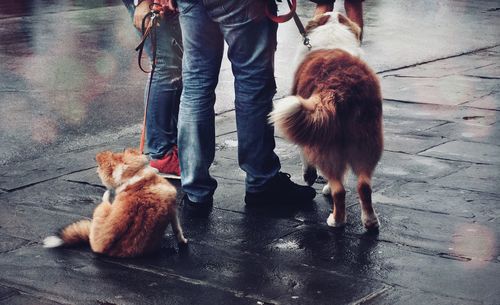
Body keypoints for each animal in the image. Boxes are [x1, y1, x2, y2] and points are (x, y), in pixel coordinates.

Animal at [42, 148, 188, 255]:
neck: (133, 176)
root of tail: (104, 249)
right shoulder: (173, 208)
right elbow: (178, 229)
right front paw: (183, 241)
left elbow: (177, 229)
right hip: (100, 208)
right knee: (105, 200)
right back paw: (107, 195)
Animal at [270, 12, 382, 230]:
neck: (332, 34)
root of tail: (337, 89)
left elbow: (304, 155)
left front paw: (309, 176)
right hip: (366, 142)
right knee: (364, 186)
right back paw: (370, 221)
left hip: (326, 142)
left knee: (340, 190)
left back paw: (336, 221)